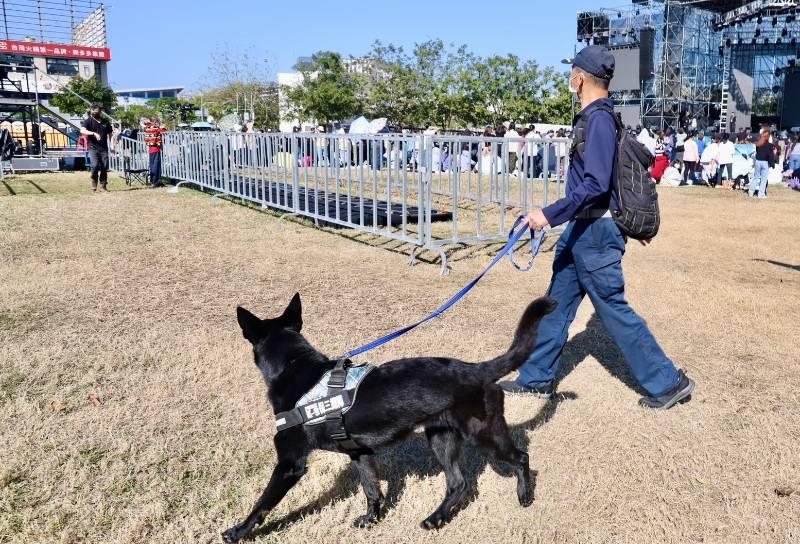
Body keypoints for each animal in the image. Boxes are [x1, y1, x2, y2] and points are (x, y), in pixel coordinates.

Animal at [222, 294, 552, 540]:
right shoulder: (360, 453)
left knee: (521, 458)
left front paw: (238, 532)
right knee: (458, 483)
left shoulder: (290, 465)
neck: (296, 365)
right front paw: (371, 520)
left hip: (484, 434)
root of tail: (480, 369)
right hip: (441, 438)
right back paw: (436, 519)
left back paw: (524, 495)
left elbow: (262, 505)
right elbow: (372, 491)